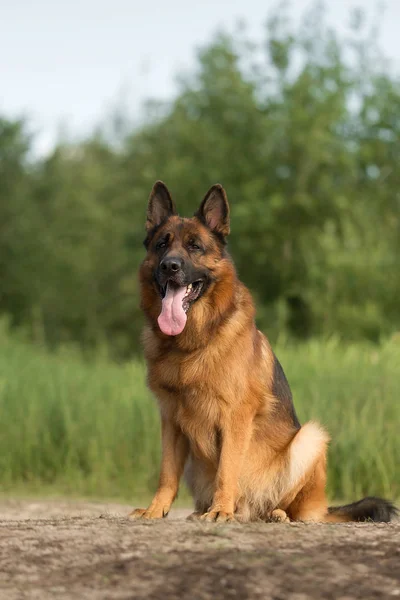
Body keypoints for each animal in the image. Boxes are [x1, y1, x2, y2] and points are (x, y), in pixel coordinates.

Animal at [130, 180, 396, 524]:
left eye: (195, 247)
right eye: (162, 244)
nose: (170, 266)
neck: (192, 343)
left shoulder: (235, 418)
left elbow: (227, 469)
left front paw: (221, 510)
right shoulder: (171, 420)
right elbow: (166, 473)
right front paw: (155, 509)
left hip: (310, 439)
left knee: (294, 508)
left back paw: (274, 513)